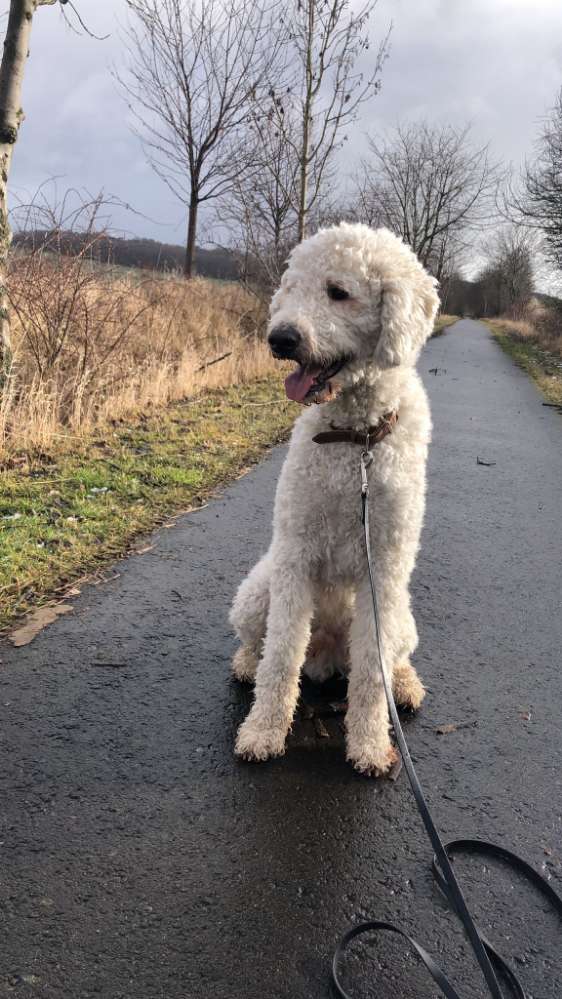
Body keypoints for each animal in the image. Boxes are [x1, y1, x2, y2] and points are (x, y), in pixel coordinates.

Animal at [228, 223, 438, 776]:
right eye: (290, 286)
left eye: (338, 292)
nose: (279, 338)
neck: (354, 442)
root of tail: (324, 657)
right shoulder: (295, 557)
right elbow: (280, 658)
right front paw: (263, 732)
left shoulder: (383, 572)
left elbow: (371, 674)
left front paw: (369, 746)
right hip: (257, 591)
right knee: (261, 645)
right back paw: (246, 663)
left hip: (402, 617)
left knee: (389, 659)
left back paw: (405, 685)